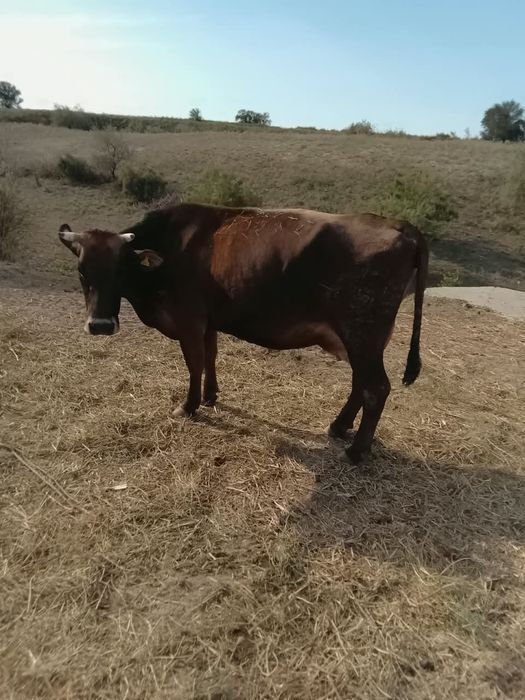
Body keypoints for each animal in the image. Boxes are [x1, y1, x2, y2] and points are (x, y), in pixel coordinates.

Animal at [58, 203, 428, 464]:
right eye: (81, 271)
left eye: (121, 269)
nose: (100, 325)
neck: (170, 253)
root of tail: (400, 224)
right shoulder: (208, 321)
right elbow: (210, 356)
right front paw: (210, 396)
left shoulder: (189, 320)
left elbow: (194, 362)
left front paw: (189, 406)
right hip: (362, 339)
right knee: (361, 383)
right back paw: (338, 427)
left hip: (362, 331)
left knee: (376, 388)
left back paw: (356, 451)